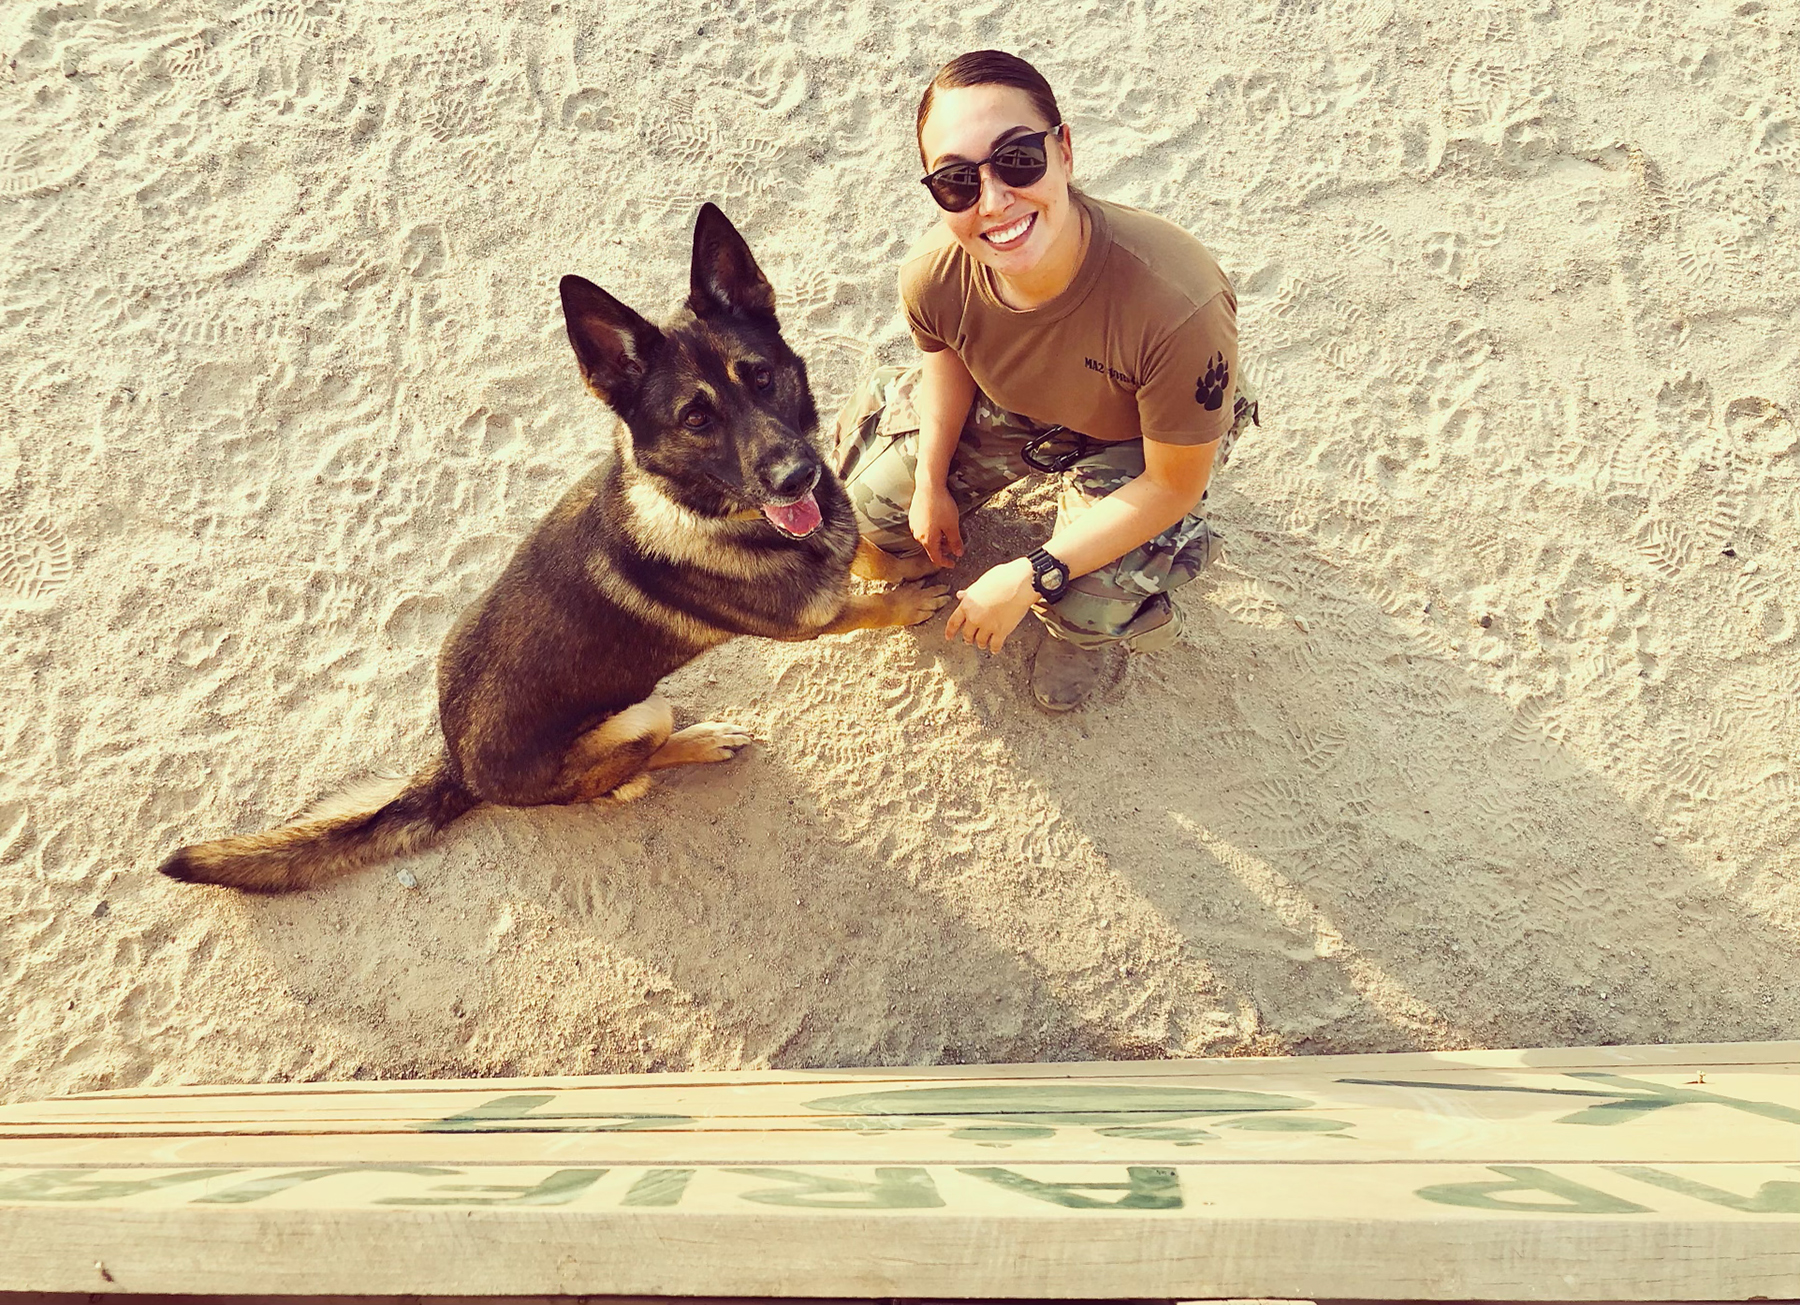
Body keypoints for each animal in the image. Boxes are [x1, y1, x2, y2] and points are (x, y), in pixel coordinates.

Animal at [158, 203, 943, 889]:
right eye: (696, 419)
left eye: (761, 376)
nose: (796, 476)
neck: (699, 508)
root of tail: (457, 765)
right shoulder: (814, 621)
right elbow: (868, 604)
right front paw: (912, 597)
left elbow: (861, 545)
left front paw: (905, 551)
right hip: (639, 715)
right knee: (630, 774)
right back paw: (694, 743)